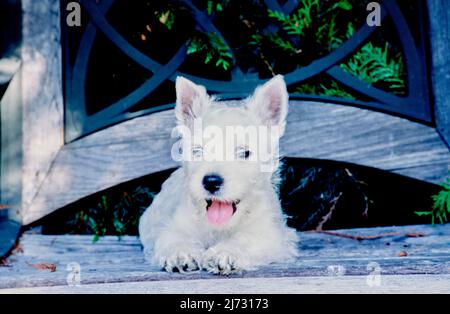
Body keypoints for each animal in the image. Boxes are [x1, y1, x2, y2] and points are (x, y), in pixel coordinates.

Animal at [137, 75, 298, 274]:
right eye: (198, 151)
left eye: (245, 152)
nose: (211, 181)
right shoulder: (175, 226)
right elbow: (175, 238)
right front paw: (181, 253)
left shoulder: (270, 235)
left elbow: (246, 239)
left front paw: (225, 253)